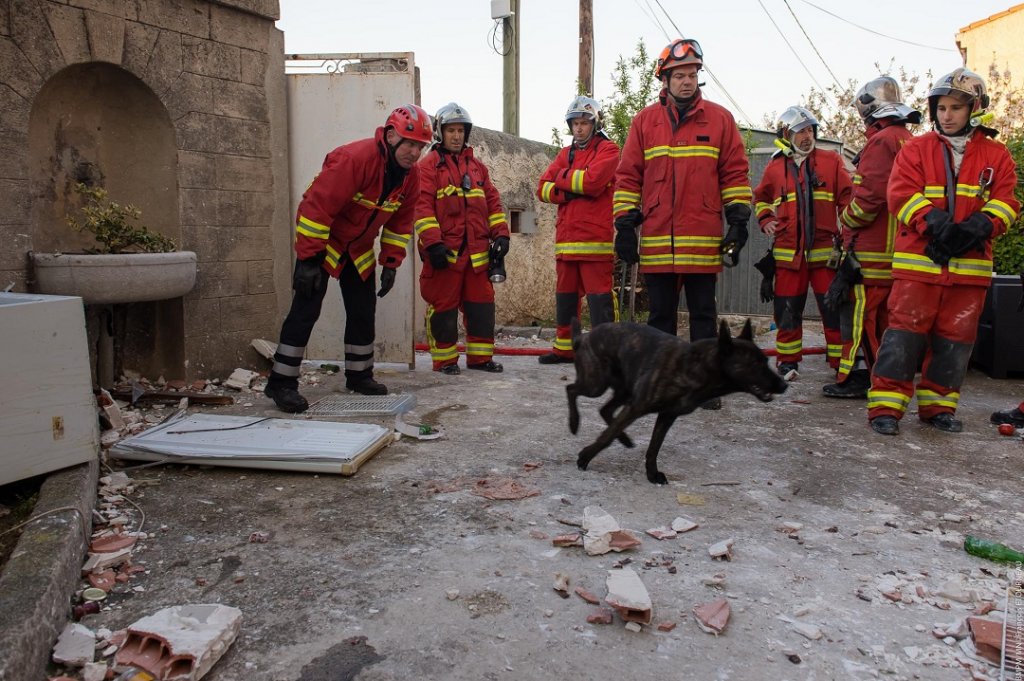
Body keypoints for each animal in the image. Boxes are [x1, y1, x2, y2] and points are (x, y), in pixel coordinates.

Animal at [565, 319, 786, 483]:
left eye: (766, 361)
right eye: (755, 364)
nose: (784, 385)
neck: (697, 368)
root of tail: (584, 336)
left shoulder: (666, 416)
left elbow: (654, 448)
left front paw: (652, 474)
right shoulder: (637, 406)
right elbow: (607, 436)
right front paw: (585, 456)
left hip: (624, 391)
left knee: (605, 410)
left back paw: (625, 439)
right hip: (596, 384)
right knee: (571, 390)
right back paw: (574, 423)